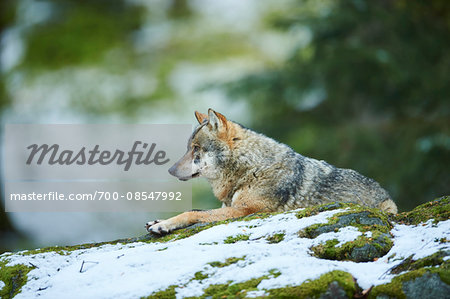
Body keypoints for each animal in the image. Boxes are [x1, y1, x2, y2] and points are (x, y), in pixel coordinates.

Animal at [145, 109, 398, 236]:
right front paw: (160, 220)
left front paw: (163, 225)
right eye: (189, 147)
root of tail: (385, 193)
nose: (169, 170)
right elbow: (197, 210)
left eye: (196, 149)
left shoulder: (244, 210)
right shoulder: (231, 206)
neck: (251, 167)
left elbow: (193, 212)